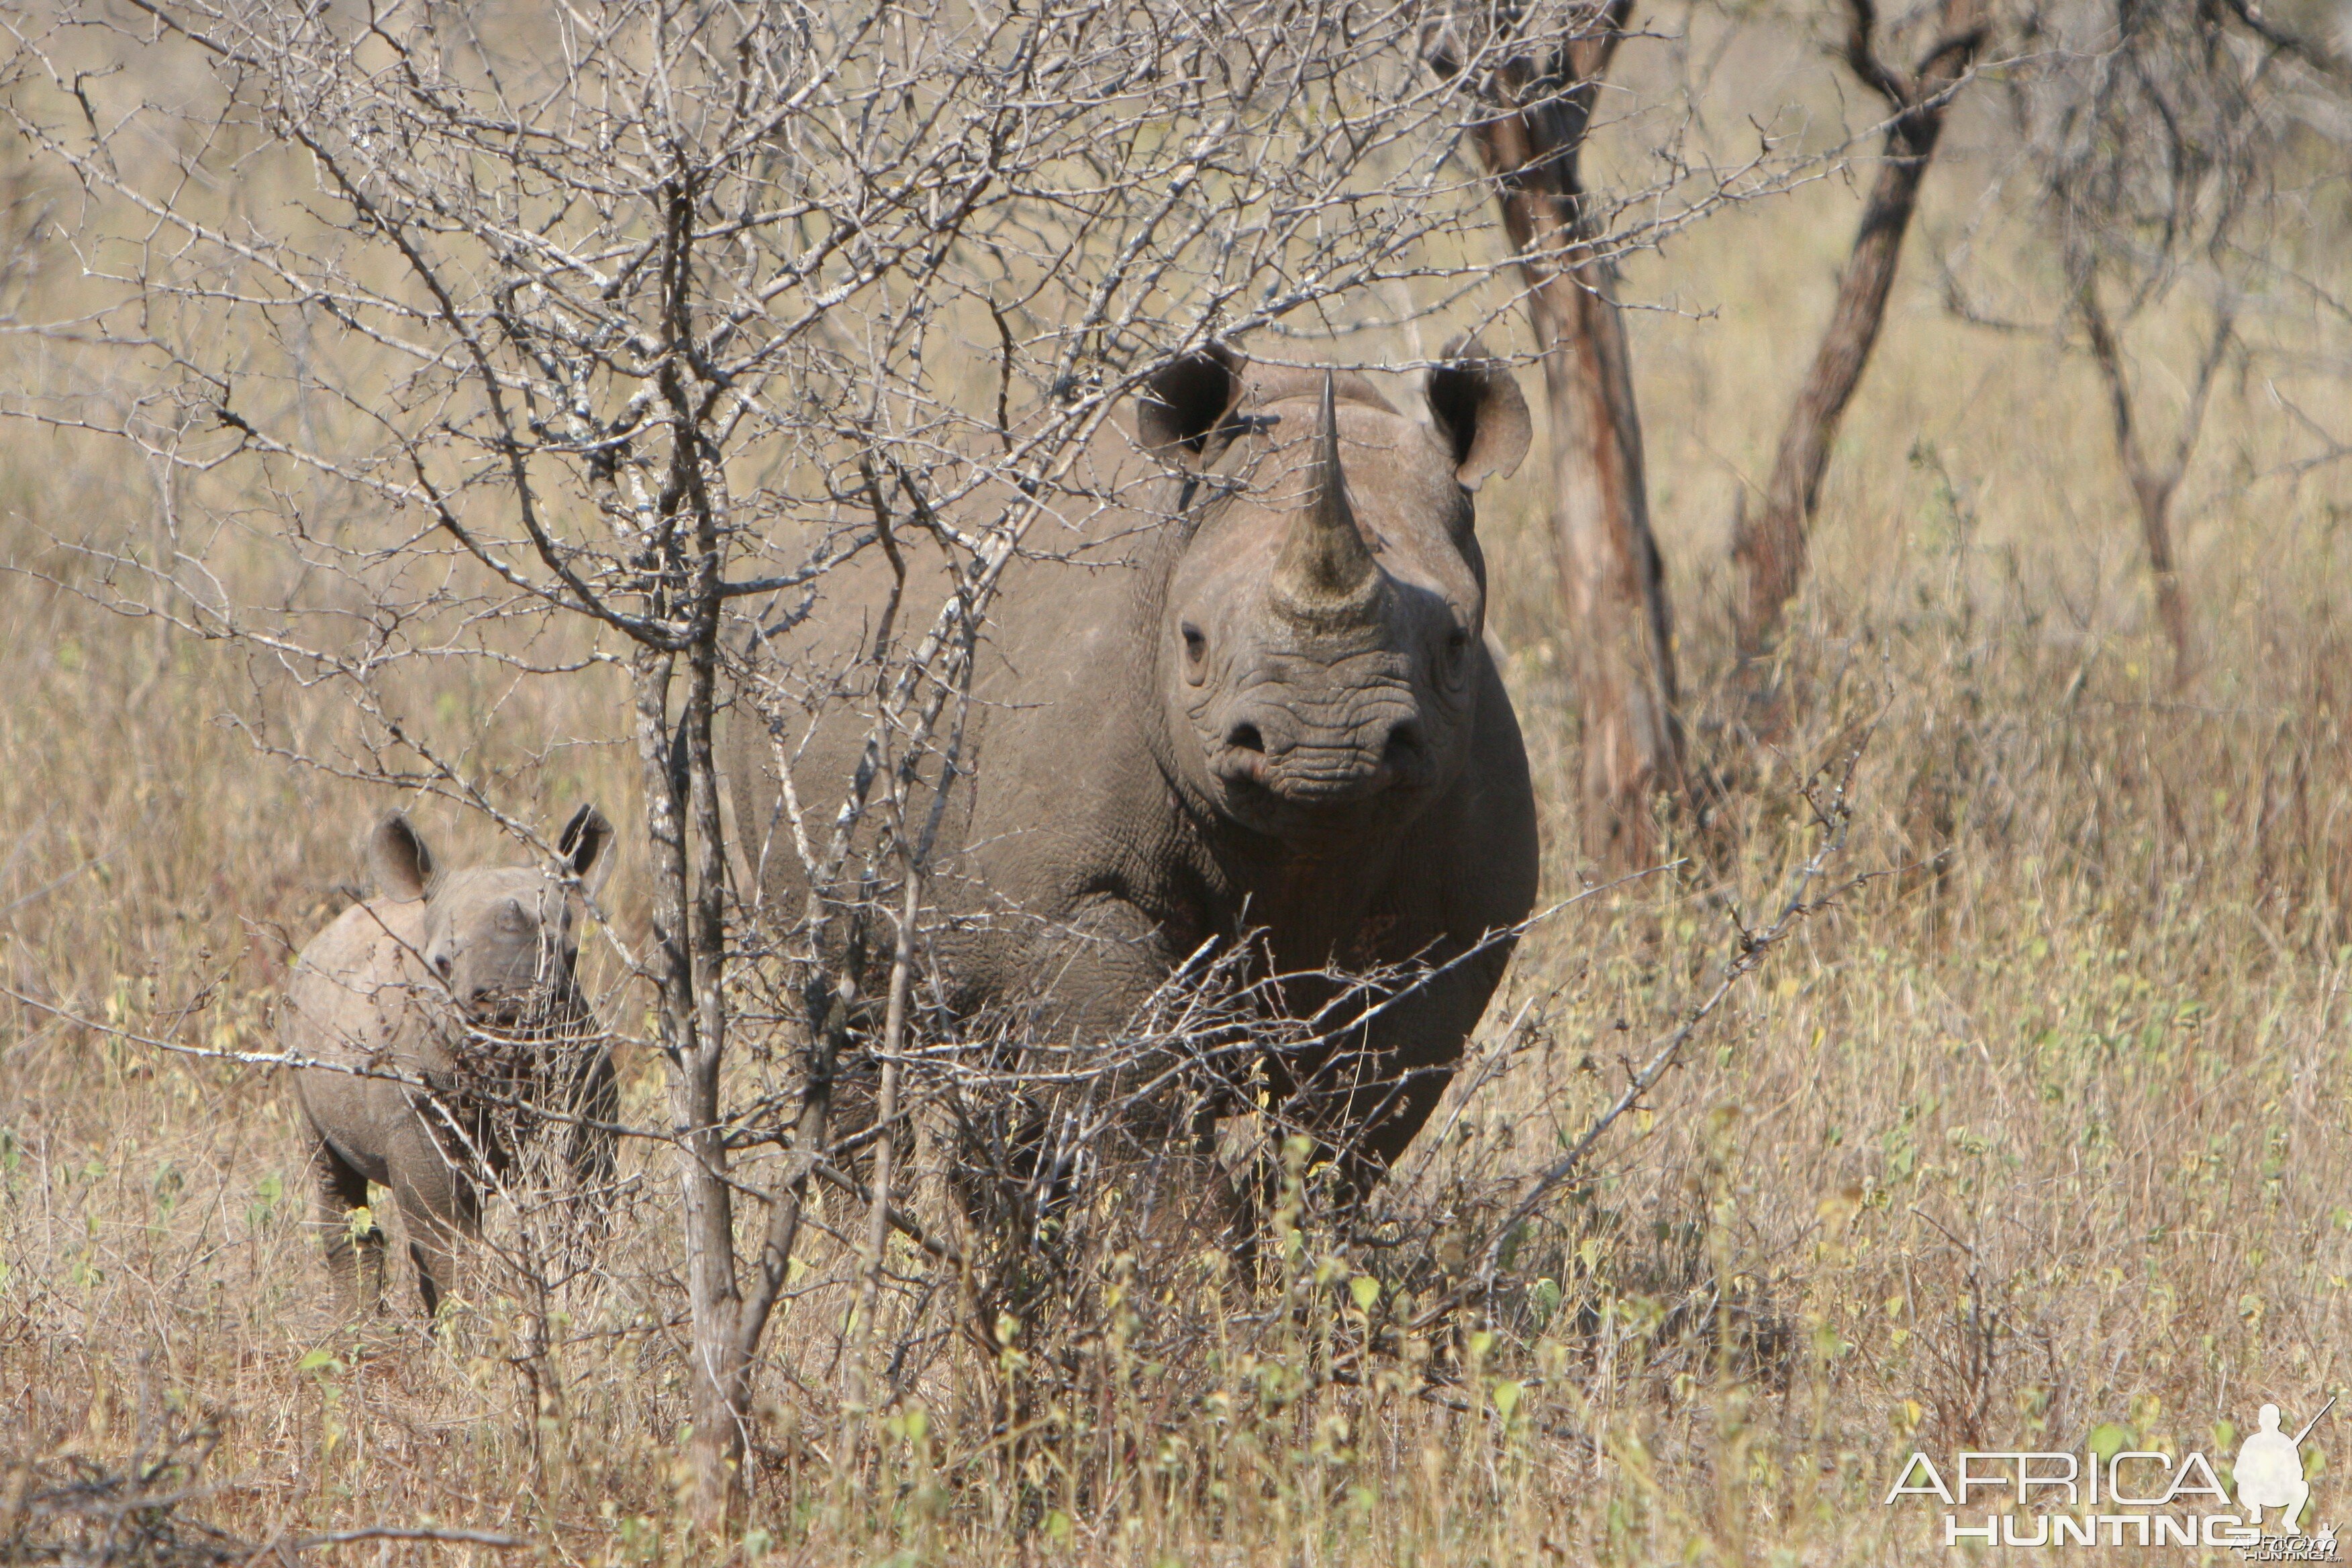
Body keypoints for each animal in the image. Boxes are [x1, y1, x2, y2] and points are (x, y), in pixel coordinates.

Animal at [281, 808, 616, 1316]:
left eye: (572, 957)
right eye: (441, 964)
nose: (507, 1011)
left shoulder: (583, 1099)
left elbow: (585, 1215)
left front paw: (581, 1309)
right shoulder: (415, 1113)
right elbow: (449, 1240)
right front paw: (476, 1323)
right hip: (299, 1029)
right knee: (331, 1172)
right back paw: (357, 1327)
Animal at [734, 343, 1542, 1194]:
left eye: (1456, 643)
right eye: (1192, 640)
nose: (1326, 745)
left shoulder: (1460, 927)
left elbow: (1353, 1123)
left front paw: (1292, 1223)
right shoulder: (1080, 896)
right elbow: (1144, 1109)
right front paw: (1196, 1234)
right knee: (842, 1015)